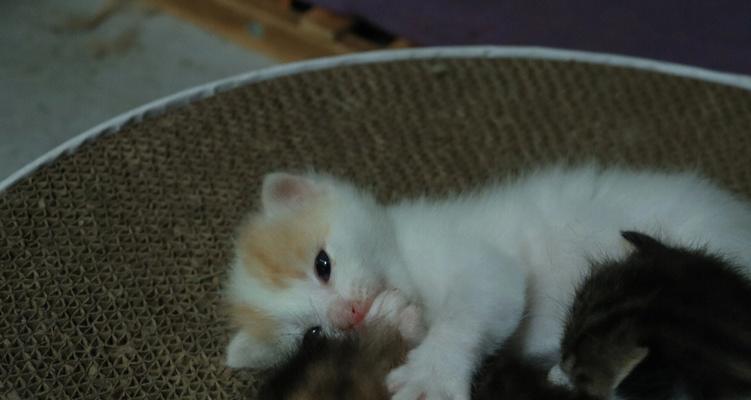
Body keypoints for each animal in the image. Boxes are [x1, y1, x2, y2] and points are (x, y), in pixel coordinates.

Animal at [225, 164, 751, 398]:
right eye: (313, 333)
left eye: (323, 265)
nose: (347, 314)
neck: (404, 259)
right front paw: (403, 323)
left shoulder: (470, 255)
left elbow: (479, 303)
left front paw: (432, 376)